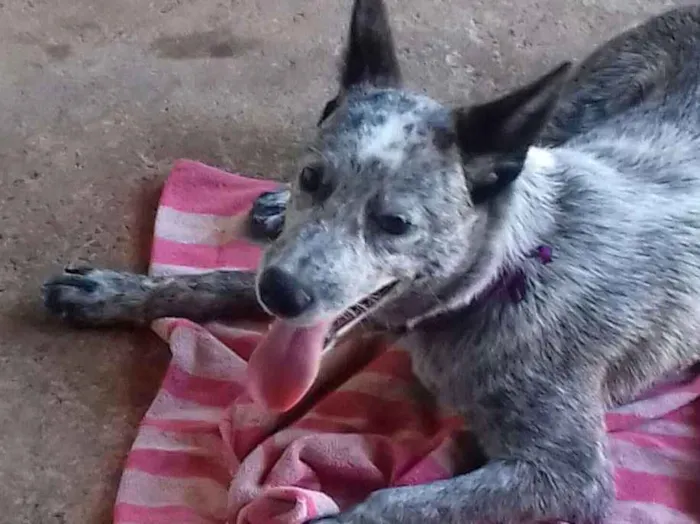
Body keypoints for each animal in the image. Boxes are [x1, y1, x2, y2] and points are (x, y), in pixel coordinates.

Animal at [42, 2, 700, 520]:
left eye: (395, 225)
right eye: (313, 178)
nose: (280, 294)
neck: (509, 271)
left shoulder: (566, 475)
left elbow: (394, 502)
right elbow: (219, 279)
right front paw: (116, 293)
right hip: (582, 101)